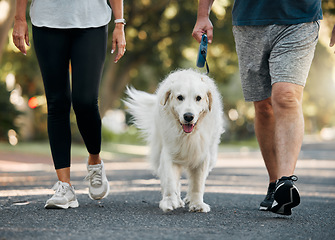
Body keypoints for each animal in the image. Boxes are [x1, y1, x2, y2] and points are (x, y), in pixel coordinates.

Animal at [124, 69, 224, 212]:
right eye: (180, 97)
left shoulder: (202, 155)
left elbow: (197, 183)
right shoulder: (169, 153)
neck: (187, 135)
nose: (188, 116)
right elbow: (170, 181)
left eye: (198, 98)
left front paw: (197, 203)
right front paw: (170, 201)